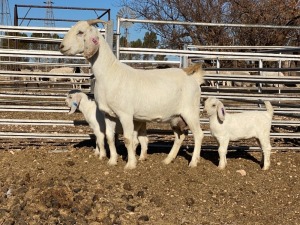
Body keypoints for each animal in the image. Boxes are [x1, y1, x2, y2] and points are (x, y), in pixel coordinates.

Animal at [59, 19, 205, 169]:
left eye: (80, 32)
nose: (61, 46)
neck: (109, 73)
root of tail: (194, 78)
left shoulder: (125, 114)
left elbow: (128, 139)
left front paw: (130, 164)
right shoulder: (108, 114)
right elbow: (110, 138)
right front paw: (112, 161)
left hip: (190, 112)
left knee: (198, 134)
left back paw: (193, 162)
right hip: (175, 117)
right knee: (180, 136)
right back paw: (168, 160)